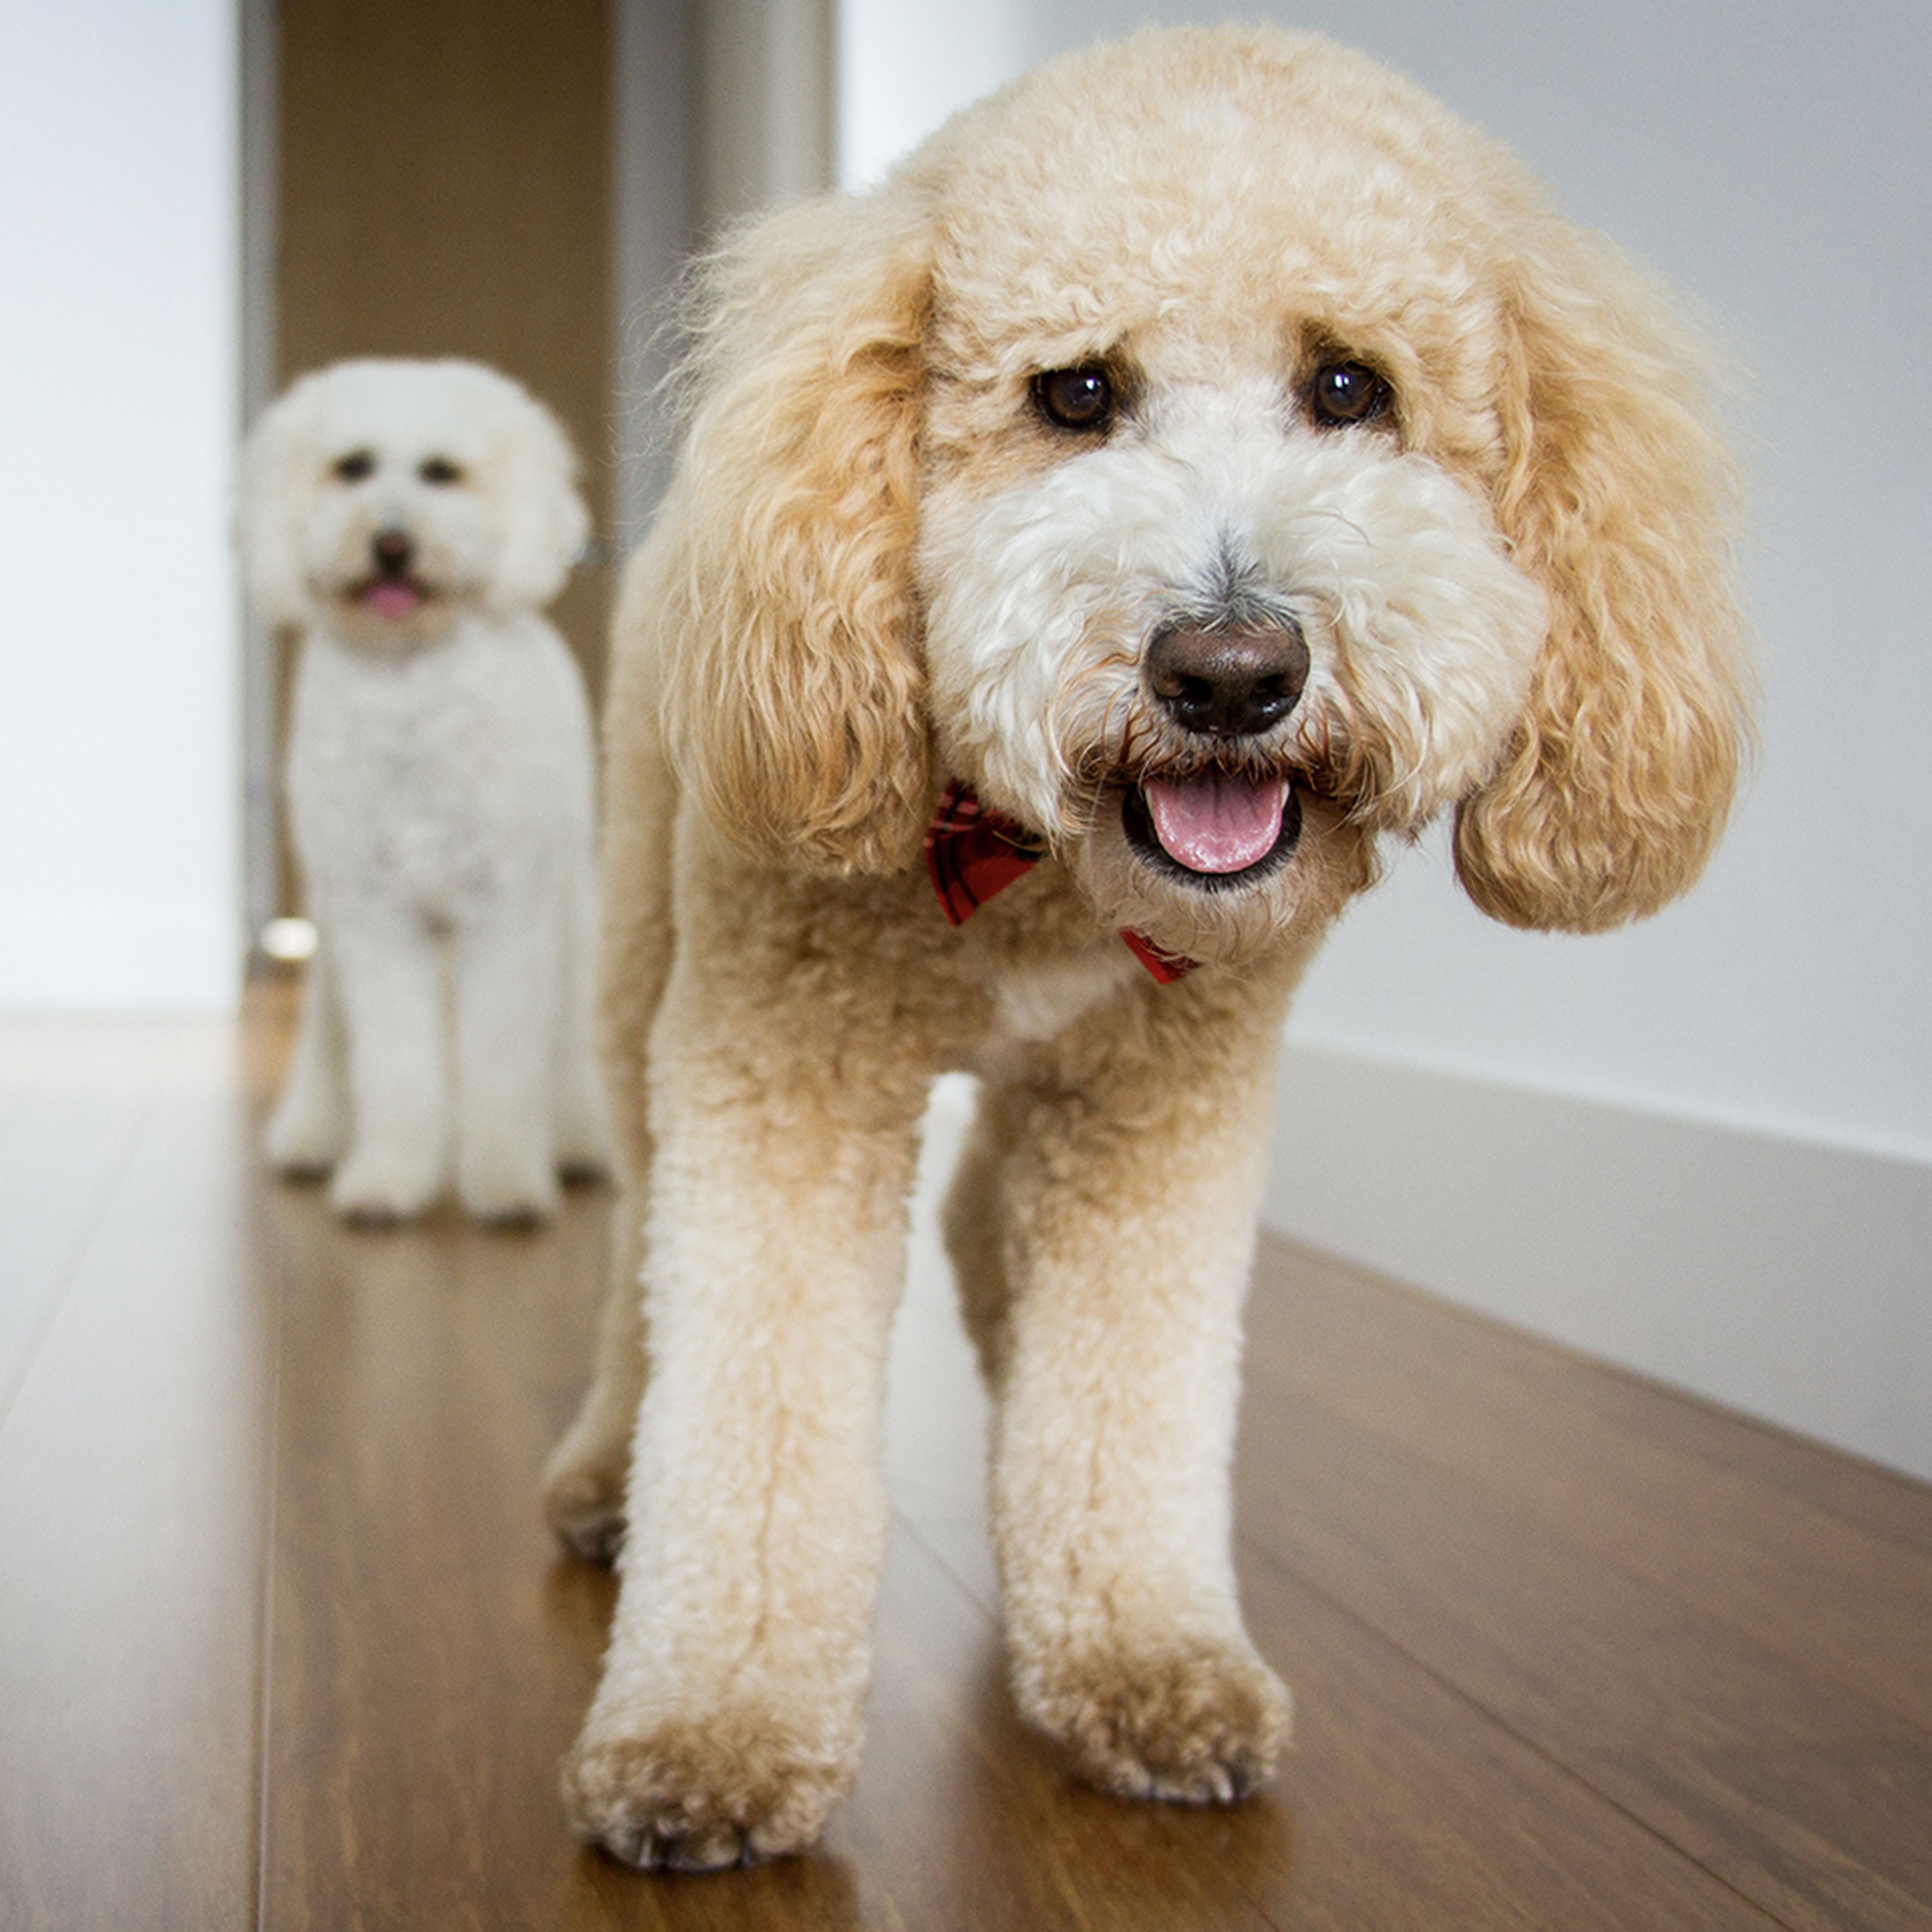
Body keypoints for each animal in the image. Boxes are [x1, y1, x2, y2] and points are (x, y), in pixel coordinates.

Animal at [240, 355, 606, 1213]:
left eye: (443, 472)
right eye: (352, 467)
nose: (392, 544)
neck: (410, 681)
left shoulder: (508, 913)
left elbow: (505, 1064)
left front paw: (505, 1180)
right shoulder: (375, 919)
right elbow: (395, 1065)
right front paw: (390, 1176)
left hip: (572, 917)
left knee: (565, 1045)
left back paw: (575, 1139)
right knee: (331, 1039)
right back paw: (313, 1134)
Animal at [541, 26, 1754, 1870]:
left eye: (1352, 390)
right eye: (1077, 396)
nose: (1232, 671)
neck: (1044, 868)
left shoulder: (1160, 1112)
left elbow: (1131, 1408)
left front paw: (1140, 1658)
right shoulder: (781, 1072)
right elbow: (751, 1421)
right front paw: (712, 1732)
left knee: (987, 1218)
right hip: (637, 982)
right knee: (639, 1276)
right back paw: (610, 1468)